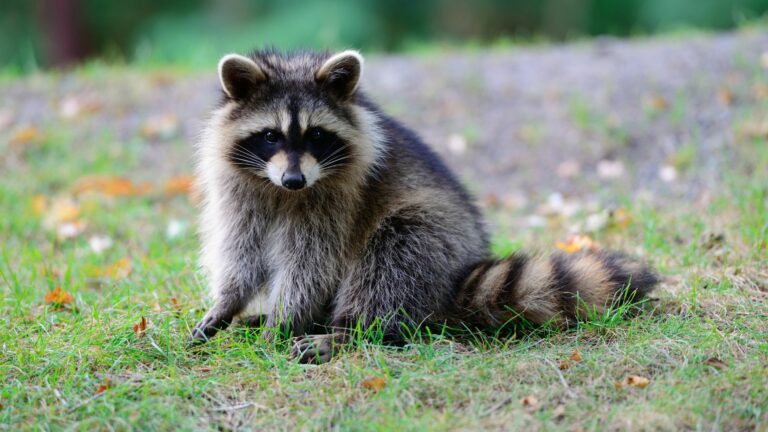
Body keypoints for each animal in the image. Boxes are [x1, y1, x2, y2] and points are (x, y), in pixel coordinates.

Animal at [191, 49, 659, 363]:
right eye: (271, 135)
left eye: (316, 136)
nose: (294, 180)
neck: (281, 192)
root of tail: (460, 273)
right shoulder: (240, 190)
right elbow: (242, 251)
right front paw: (229, 303)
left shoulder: (337, 199)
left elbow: (311, 264)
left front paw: (286, 321)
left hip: (433, 237)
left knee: (392, 258)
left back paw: (348, 331)